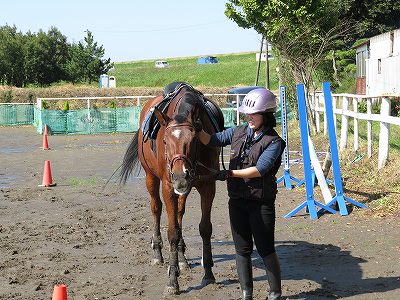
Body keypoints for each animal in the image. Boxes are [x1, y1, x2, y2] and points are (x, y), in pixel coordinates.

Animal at [119, 83, 225, 294]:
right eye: (165, 141)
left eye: (193, 140)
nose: (179, 175)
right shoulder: (169, 188)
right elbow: (172, 233)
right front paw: (172, 280)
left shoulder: (208, 186)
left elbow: (205, 228)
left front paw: (208, 273)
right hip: (151, 178)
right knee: (156, 208)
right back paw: (158, 254)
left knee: (179, 213)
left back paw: (182, 259)